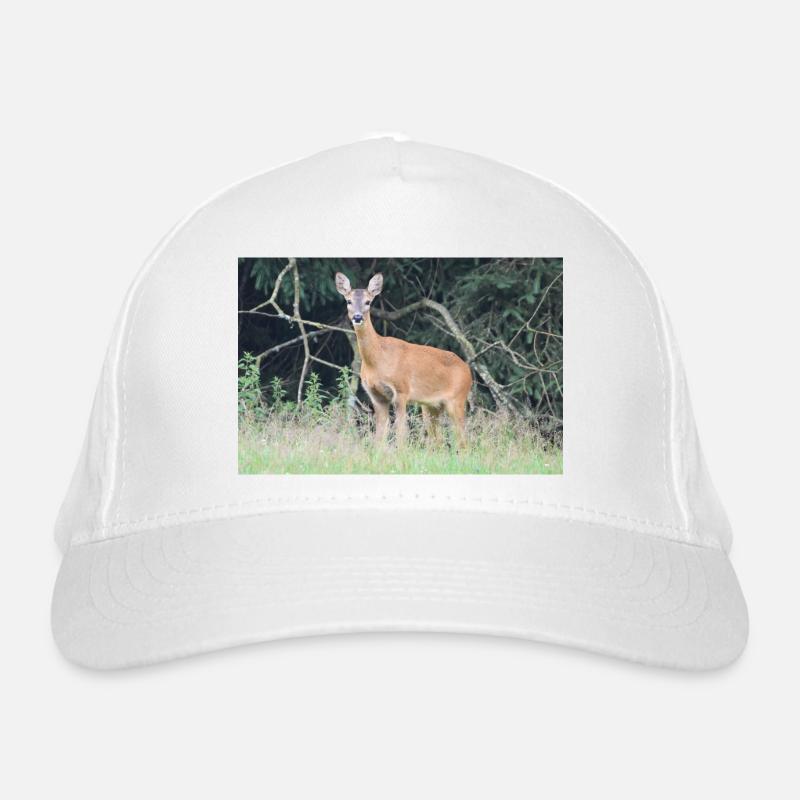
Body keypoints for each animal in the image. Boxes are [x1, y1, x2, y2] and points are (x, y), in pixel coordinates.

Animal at [335, 272, 472, 448]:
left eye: (368, 302)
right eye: (348, 301)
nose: (358, 317)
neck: (378, 361)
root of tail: (468, 370)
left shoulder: (401, 390)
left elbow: (401, 434)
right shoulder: (376, 396)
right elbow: (379, 437)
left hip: (457, 399)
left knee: (463, 441)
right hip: (431, 406)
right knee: (439, 441)